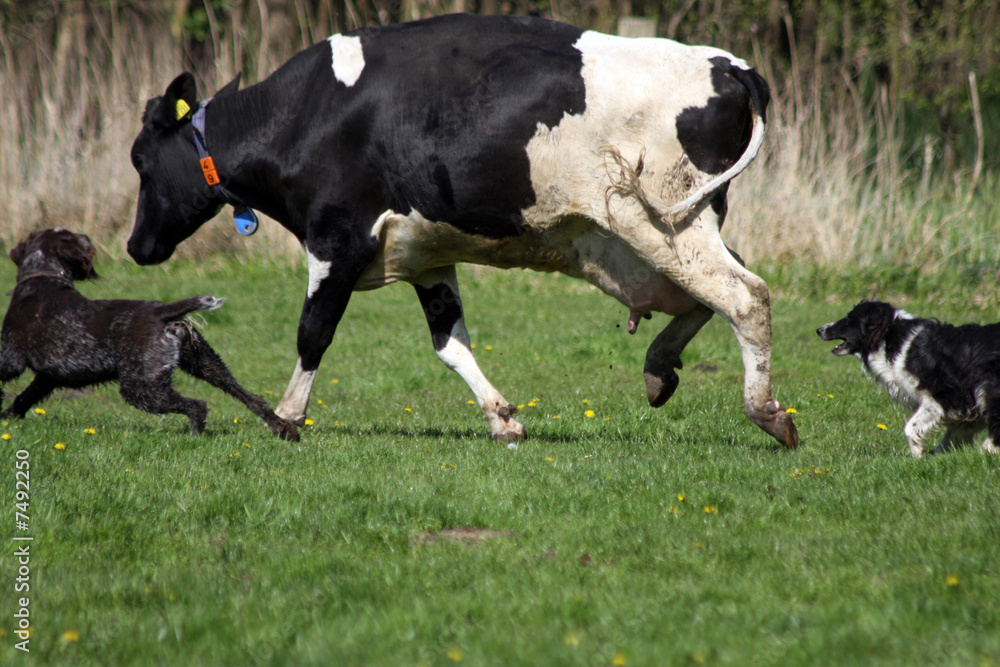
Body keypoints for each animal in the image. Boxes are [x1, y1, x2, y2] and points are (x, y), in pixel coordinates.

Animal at [0, 230, 296, 444]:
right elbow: (24, 398)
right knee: (251, 397)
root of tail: (161, 311)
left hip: (141, 386)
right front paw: (8, 417)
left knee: (197, 406)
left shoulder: (12, 358)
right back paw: (283, 430)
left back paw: (195, 438)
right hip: (207, 364)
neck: (44, 277)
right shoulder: (48, 377)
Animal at [127, 11, 796, 448]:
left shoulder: (336, 237)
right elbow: (450, 344)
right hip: (664, 230)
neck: (304, 116)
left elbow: (313, 332)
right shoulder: (427, 256)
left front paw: (286, 417)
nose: (136, 247)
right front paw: (502, 418)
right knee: (712, 293)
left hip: (664, 223)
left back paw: (766, 412)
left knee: (744, 295)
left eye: (139, 159)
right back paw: (659, 368)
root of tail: (729, 63)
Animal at [820, 302, 1000, 460]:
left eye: (849, 319)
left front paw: (918, 456)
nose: (819, 329)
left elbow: (910, 428)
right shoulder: (966, 410)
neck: (892, 341)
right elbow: (950, 439)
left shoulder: (942, 399)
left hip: (988, 389)